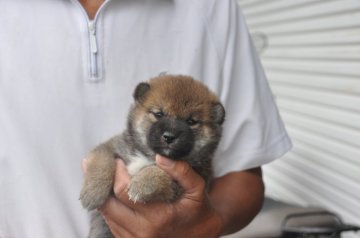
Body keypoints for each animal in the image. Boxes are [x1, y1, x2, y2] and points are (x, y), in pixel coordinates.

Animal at [80, 75, 225, 238]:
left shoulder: (185, 182)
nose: (169, 137)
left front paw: (142, 184)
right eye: (158, 114)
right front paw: (93, 192)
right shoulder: (110, 147)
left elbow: (160, 171)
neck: (149, 155)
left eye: (191, 122)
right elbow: (102, 163)